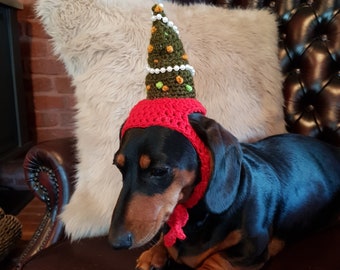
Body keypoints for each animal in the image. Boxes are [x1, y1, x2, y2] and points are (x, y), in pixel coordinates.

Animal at [108, 113, 340, 268]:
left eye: (158, 171)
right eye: (119, 167)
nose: (115, 242)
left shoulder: (251, 248)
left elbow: (214, 259)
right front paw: (153, 254)